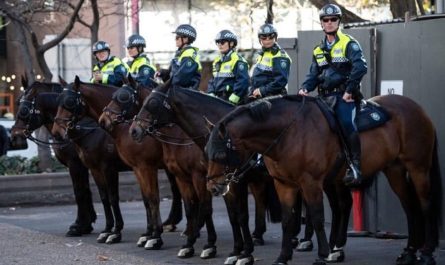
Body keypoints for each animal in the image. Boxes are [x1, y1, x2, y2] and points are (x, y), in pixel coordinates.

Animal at [11, 78, 96, 235]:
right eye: (18, 102)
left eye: (25, 109)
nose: (15, 136)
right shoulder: (84, 165)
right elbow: (85, 190)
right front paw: (87, 223)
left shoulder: (75, 164)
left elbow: (79, 191)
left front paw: (79, 225)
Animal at [51, 77, 217, 258]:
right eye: (57, 100)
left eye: (69, 101)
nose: (56, 133)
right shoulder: (109, 169)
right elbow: (120, 199)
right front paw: (139, 233)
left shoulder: (128, 168)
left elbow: (133, 198)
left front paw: (128, 233)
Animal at [128, 83, 282, 264]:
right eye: (143, 101)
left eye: (152, 103)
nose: (134, 130)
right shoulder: (213, 183)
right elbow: (229, 216)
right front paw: (234, 250)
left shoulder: (222, 181)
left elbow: (235, 214)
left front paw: (239, 252)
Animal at [205, 93, 440, 264]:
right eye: (207, 152)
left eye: (220, 154)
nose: (213, 187)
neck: (288, 132)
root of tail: (416, 108)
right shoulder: (284, 185)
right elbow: (288, 220)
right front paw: (283, 257)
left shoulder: (310, 183)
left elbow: (317, 217)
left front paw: (322, 254)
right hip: (395, 171)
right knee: (410, 208)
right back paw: (409, 252)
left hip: (418, 168)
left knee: (426, 204)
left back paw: (427, 252)